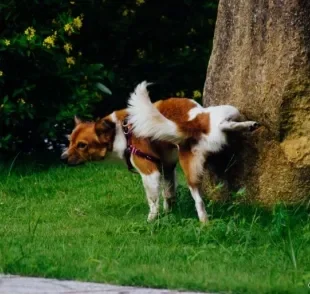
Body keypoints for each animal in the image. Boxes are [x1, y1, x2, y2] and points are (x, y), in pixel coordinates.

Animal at [61, 81, 260, 223]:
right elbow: (168, 194)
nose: (62, 158)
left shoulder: (150, 172)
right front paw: (169, 213)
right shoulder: (168, 167)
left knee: (198, 201)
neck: (120, 132)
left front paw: (152, 220)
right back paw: (246, 125)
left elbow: (153, 201)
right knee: (224, 124)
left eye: (82, 145)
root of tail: (192, 123)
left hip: (188, 168)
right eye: (70, 142)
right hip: (219, 114)